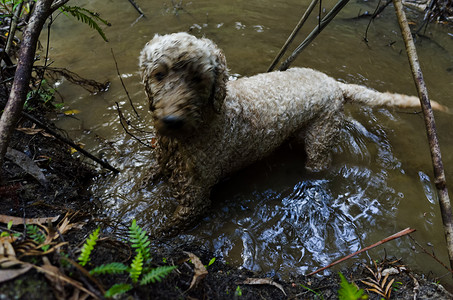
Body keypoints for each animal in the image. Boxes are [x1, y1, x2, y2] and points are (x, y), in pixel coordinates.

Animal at [139, 31, 444, 232]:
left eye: (198, 78)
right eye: (159, 74)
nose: (171, 120)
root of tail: (336, 84)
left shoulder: (195, 203)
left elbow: (159, 233)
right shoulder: (165, 164)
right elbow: (149, 176)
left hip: (320, 141)